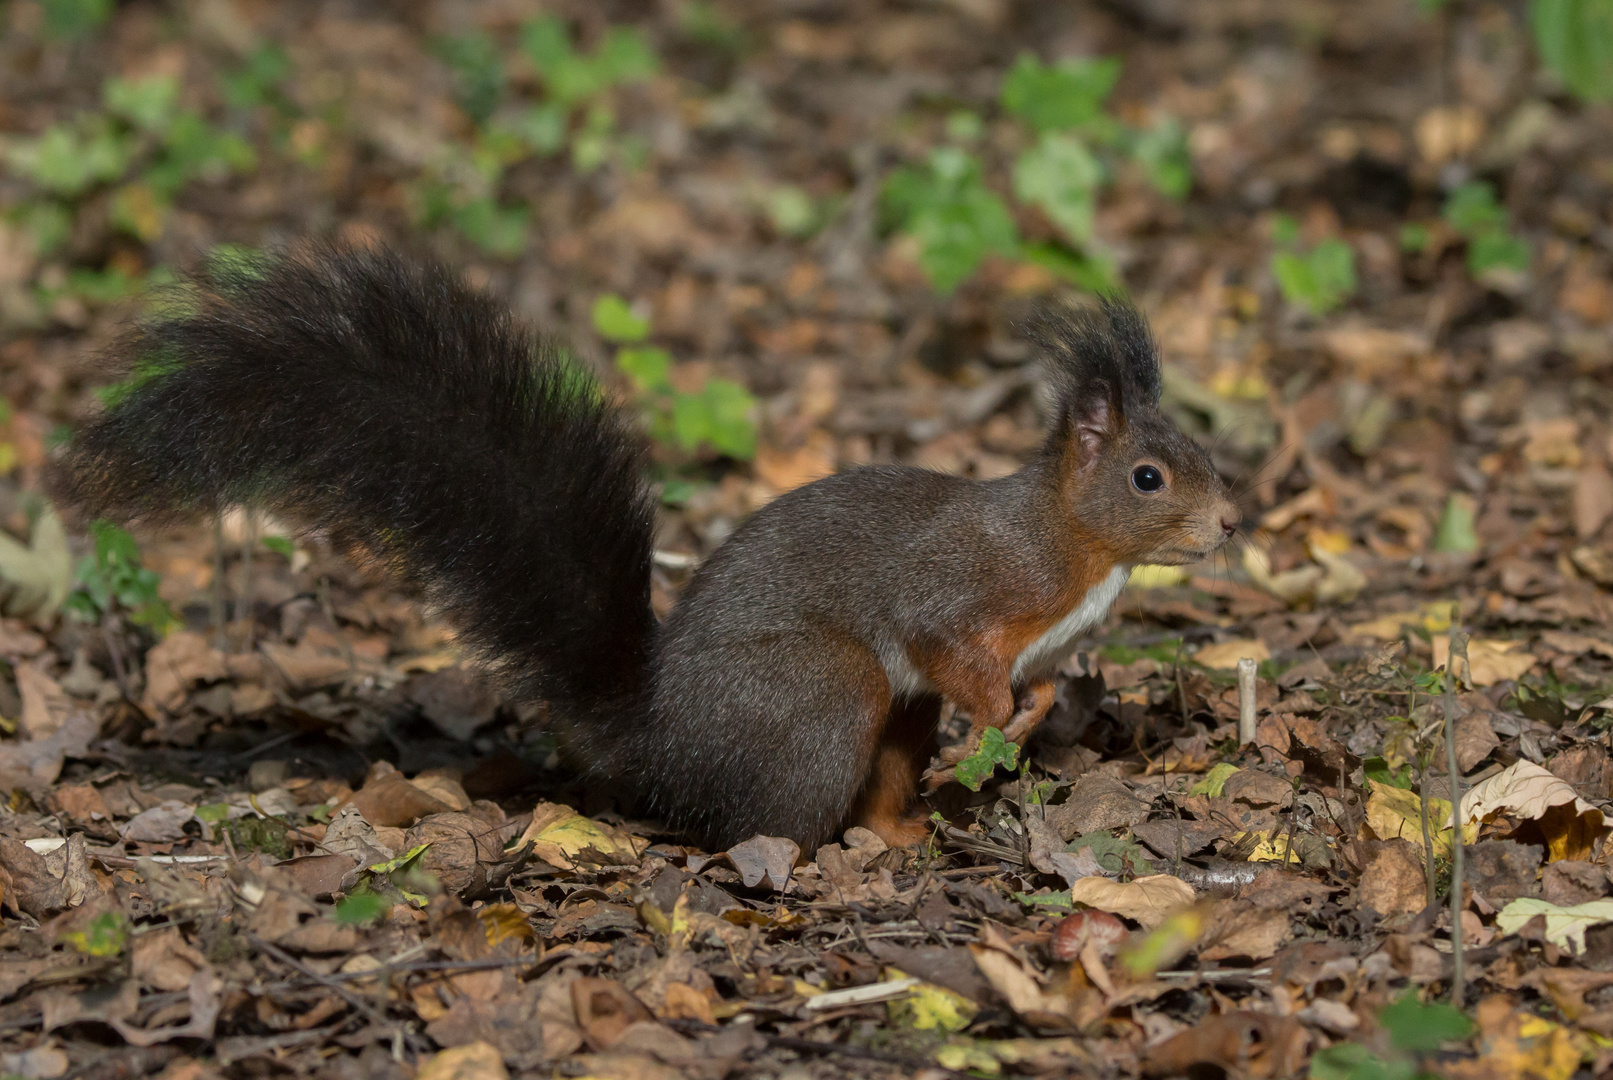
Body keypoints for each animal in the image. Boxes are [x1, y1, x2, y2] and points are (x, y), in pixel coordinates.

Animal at [50, 243, 1232, 857]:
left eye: (1198, 450)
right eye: (1148, 477)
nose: (1227, 524)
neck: (1072, 542)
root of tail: (659, 745)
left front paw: (1042, 717)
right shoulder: (967, 590)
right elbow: (954, 650)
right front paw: (1005, 721)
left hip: (878, 716)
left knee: (875, 780)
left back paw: (898, 834)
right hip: (826, 690)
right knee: (764, 820)